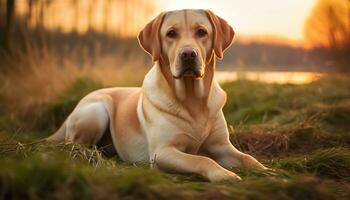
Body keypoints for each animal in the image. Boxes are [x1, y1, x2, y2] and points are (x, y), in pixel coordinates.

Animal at [46, 9, 266, 181]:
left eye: (202, 32)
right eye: (171, 33)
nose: (188, 54)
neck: (192, 98)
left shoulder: (222, 146)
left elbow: (248, 158)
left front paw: (267, 172)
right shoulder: (163, 152)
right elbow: (201, 159)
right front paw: (223, 174)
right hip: (97, 111)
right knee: (72, 144)